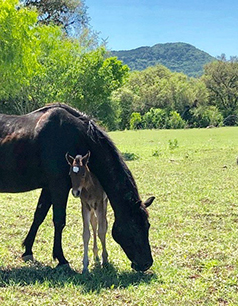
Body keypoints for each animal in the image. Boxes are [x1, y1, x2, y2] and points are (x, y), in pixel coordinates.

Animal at [0, 104, 154, 272]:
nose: (146, 263)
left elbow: (39, 216)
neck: (75, 136)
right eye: (134, 226)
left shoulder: (49, 187)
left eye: (147, 225)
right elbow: (59, 220)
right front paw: (61, 259)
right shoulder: (59, 186)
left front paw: (28, 251)